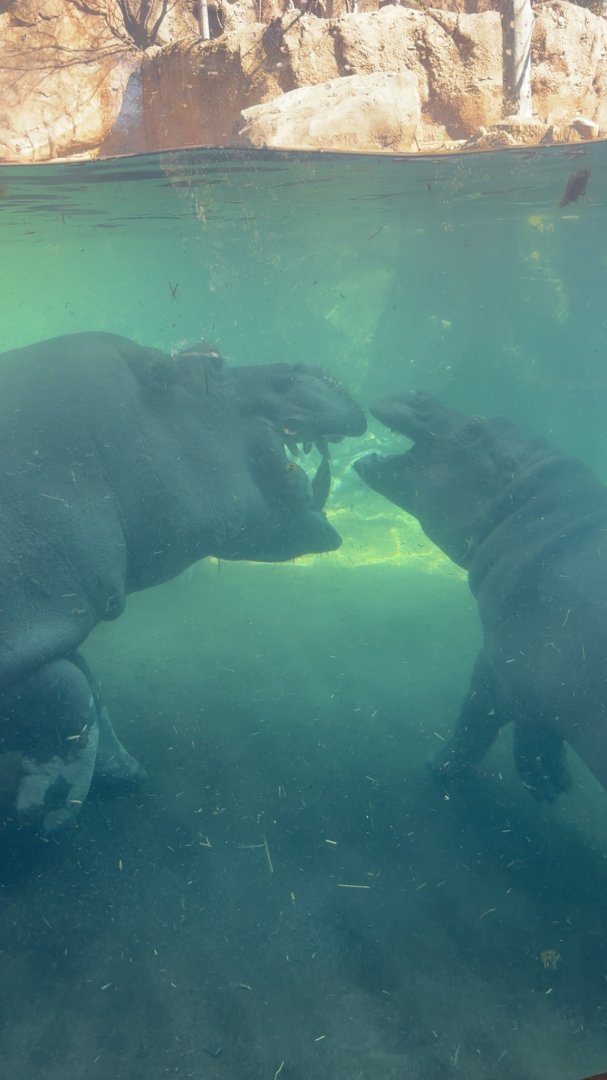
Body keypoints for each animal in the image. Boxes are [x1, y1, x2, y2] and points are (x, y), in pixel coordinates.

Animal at [0, 331, 366, 834]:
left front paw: (125, 772)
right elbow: (70, 690)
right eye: (215, 363)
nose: (304, 367)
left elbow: (88, 685)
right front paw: (39, 818)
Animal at [354, 390, 607, 802]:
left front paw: (438, 767)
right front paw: (552, 782)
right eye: (504, 419)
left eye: (473, 429)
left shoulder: (501, 663)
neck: (535, 509)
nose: (415, 395)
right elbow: (532, 727)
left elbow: (476, 719)